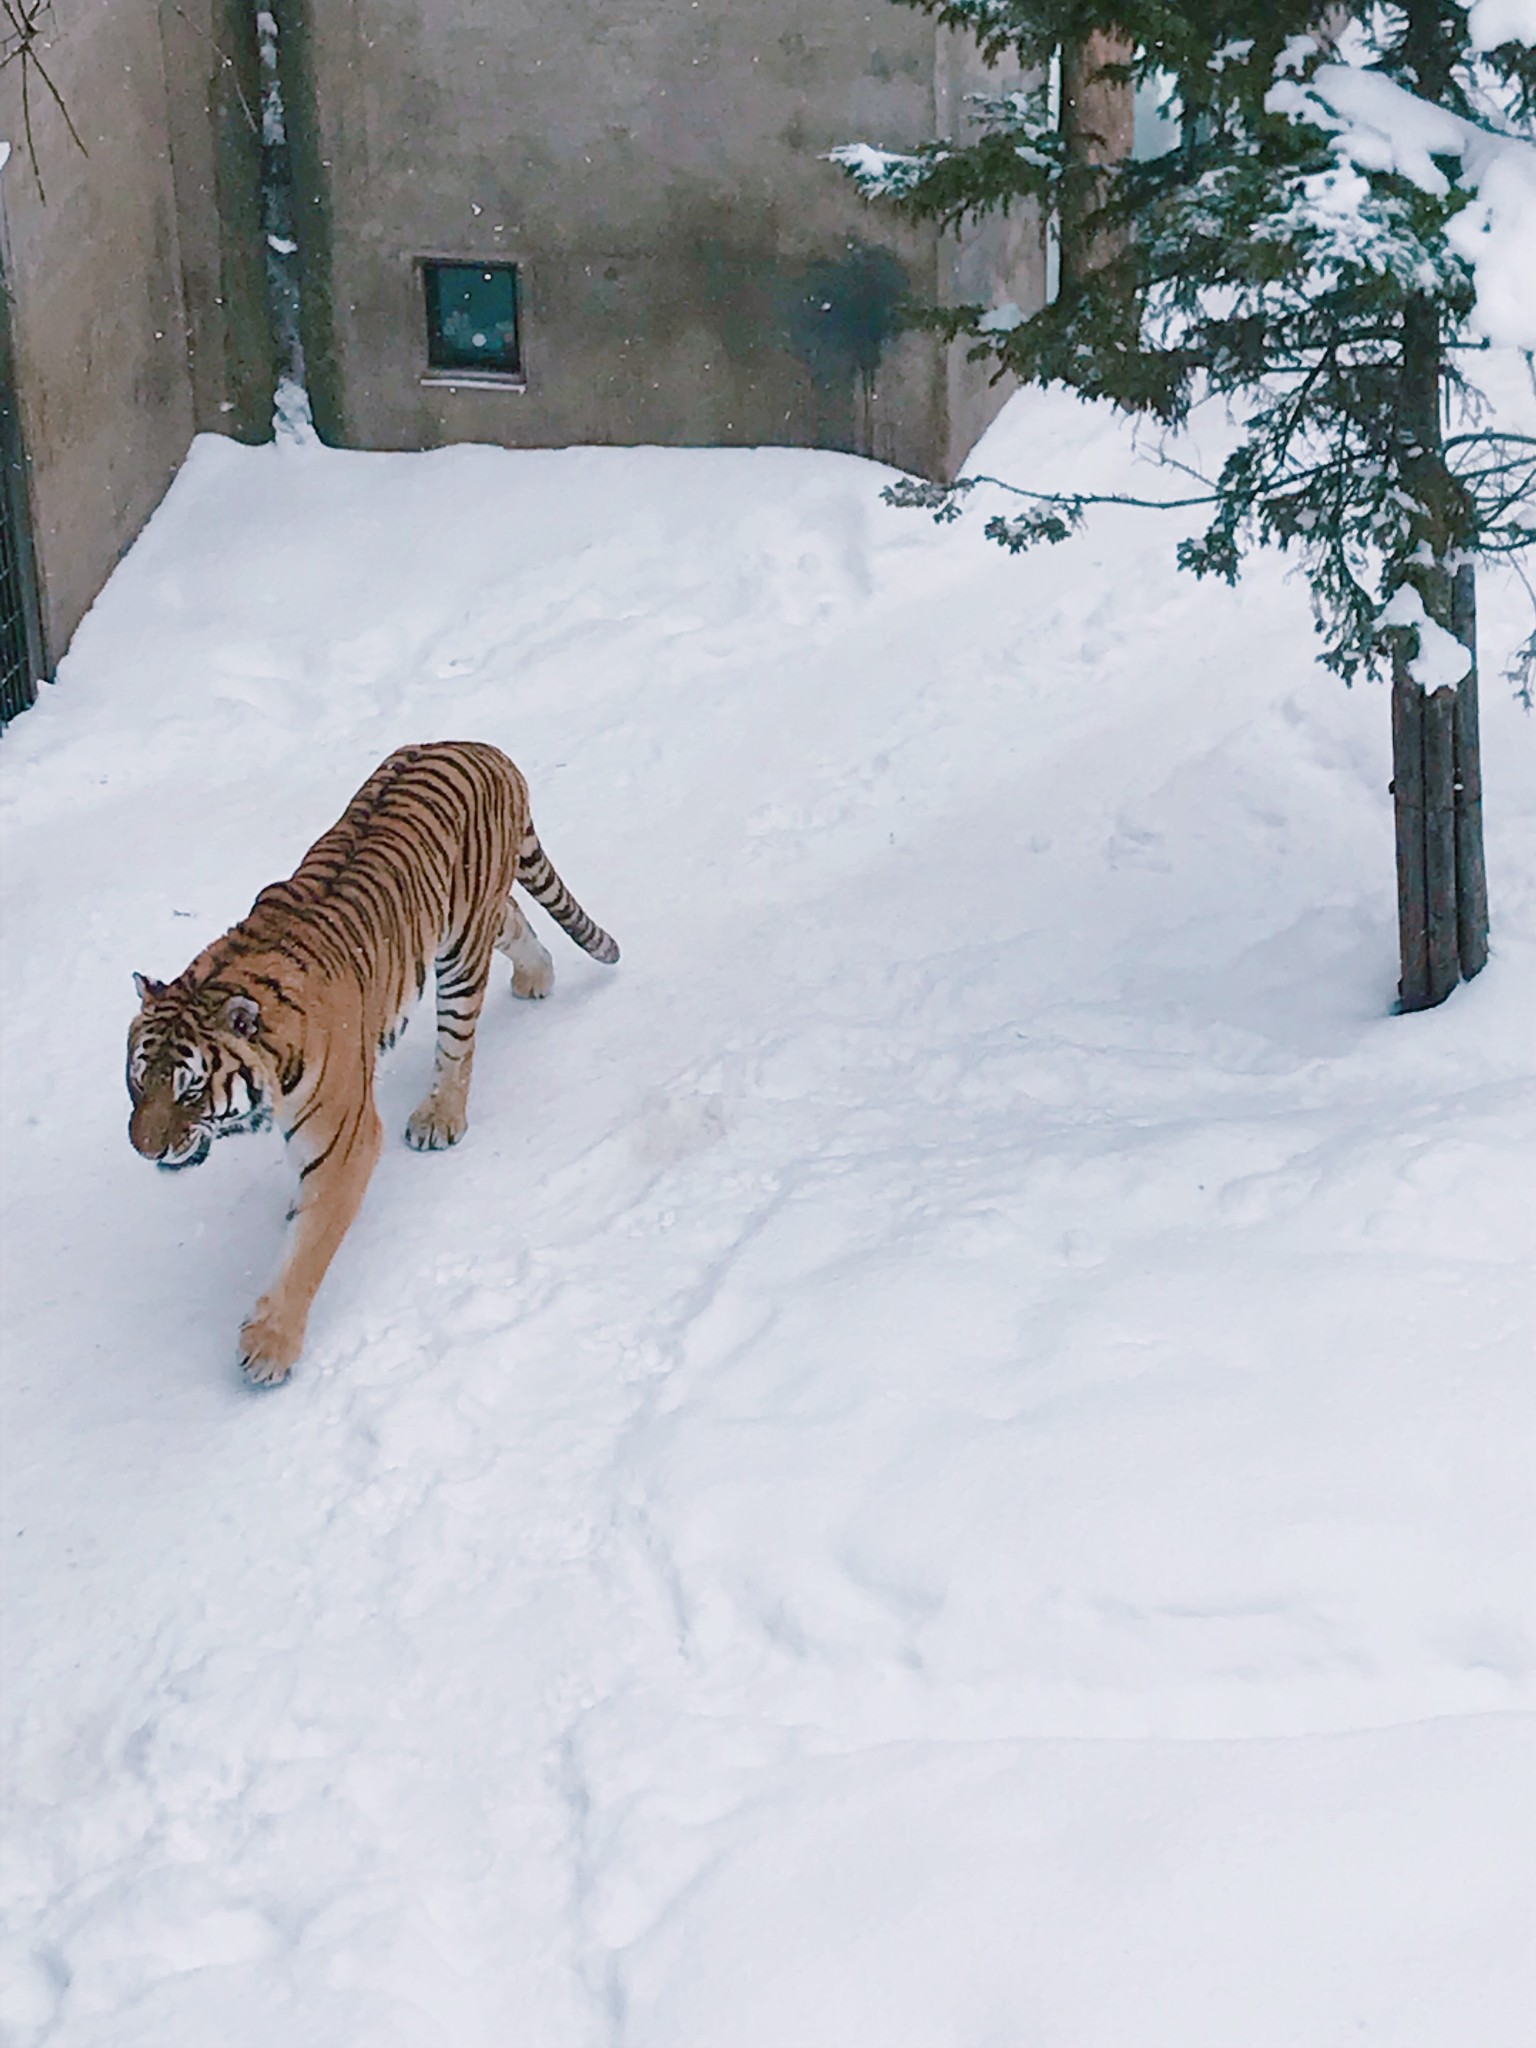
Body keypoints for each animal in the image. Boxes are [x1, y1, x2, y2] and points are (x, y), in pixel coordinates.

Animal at [126, 741, 618, 1392]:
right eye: (138, 1082)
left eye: (189, 1091)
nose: (144, 1150)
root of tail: (482, 747)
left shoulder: (345, 1138)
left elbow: (309, 1247)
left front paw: (270, 1347)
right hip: (467, 923)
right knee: (511, 914)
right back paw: (537, 976)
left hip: (460, 956)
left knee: (458, 1041)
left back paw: (441, 1117)